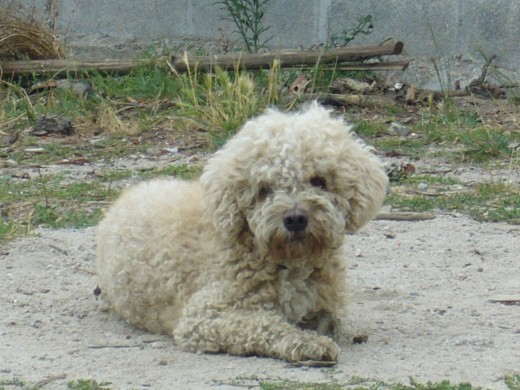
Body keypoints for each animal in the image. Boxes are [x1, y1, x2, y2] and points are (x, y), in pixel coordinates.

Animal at [97, 103, 388, 362]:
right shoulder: (204, 316)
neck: (288, 262)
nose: (295, 219)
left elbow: (330, 319)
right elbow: (265, 324)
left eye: (319, 181)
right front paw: (309, 343)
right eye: (264, 189)